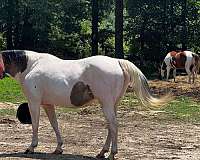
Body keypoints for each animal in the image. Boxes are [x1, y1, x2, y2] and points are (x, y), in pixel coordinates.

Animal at [0, 50, 172, 160]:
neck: (32, 65)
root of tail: (117, 62)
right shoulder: (48, 104)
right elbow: (55, 124)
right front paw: (58, 148)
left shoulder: (34, 102)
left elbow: (35, 125)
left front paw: (31, 147)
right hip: (112, 104)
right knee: (111, 126)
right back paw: (102, 152)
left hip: (106, 103)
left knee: (113, 125)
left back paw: (111, 154)